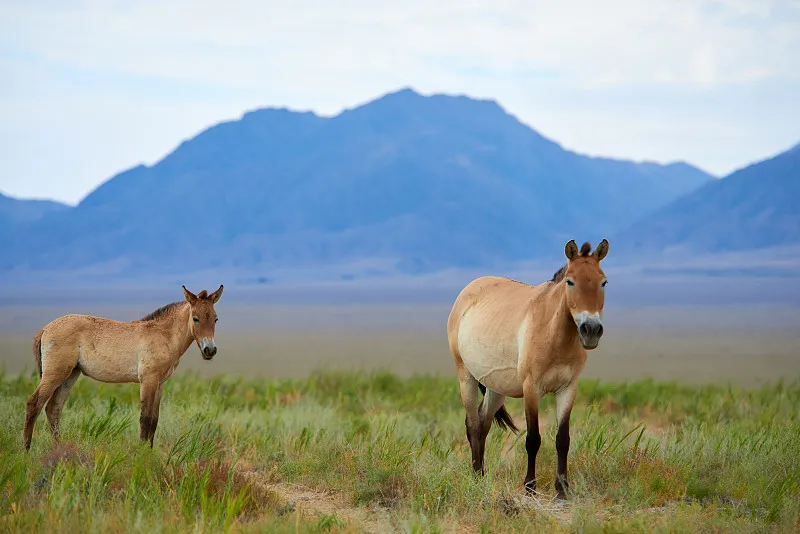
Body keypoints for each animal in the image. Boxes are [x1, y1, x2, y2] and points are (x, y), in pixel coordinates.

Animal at [23, 284, 223, 452]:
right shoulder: (148, 380)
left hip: (70, 375)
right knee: (34, 404)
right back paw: (26, 450)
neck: (163, 335)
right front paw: (141, 455)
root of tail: (45, 329)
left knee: (54, 408)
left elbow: (154, 419)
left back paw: (60, 449)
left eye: (215, 319)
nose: (210, 350)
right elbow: (145, 418)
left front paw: (149, 453)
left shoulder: (160, 383)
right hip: (55, 373)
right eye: (195, 318)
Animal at [446, 241, 608, 500]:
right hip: (466, 378)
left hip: (495, 387)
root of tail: (468, 290)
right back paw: (475, 477)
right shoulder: (532, 389)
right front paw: (530, 487)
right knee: (472, 424)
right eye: (570, 281)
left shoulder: (568, 389)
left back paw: (481, 477)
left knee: (483, 424)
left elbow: (563, 439)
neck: (553, 333)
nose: (591, 330)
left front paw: (562, 490)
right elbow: (533, 439)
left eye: (603, 282)